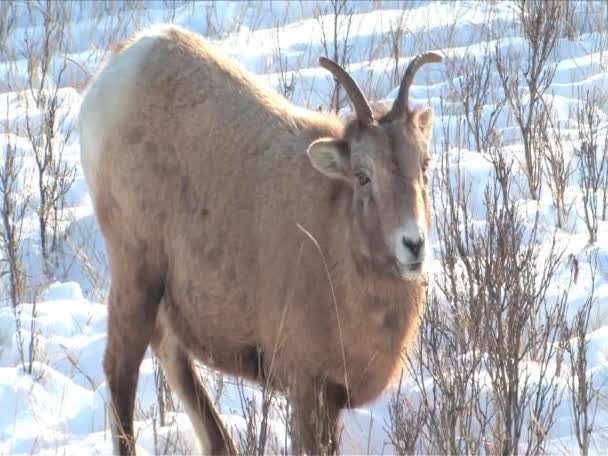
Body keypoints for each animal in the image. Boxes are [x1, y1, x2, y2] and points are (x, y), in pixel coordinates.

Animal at [79, 23, 442, 454]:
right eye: (362, 175)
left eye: (424, 164)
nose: (413, 245)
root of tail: (128, 57)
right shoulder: (308, 390)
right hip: (135, 268)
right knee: (122, 368)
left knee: (169, 351)